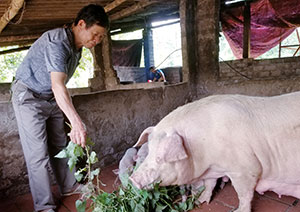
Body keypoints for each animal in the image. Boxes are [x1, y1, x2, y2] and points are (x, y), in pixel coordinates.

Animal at [129, 92, 300, 212]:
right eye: (149, 151)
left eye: (160, 158)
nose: (132, 179)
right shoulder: (214, 168)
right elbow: (209, 184)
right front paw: (200, 201)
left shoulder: (245, 169)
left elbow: (244, 194)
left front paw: (238, 211)